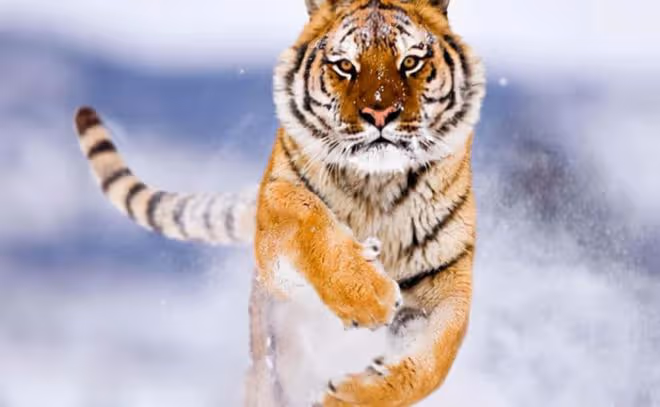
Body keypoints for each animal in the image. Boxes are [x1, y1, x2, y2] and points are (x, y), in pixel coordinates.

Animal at [73, 0, 485, 405]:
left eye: (411, 61)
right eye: (345, 66)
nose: (380, 113)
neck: (377, 185)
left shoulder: (447, 282)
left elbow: (436, 360)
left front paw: (349, 395)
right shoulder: (274, 222)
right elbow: (308, 218)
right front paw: (370, 296)